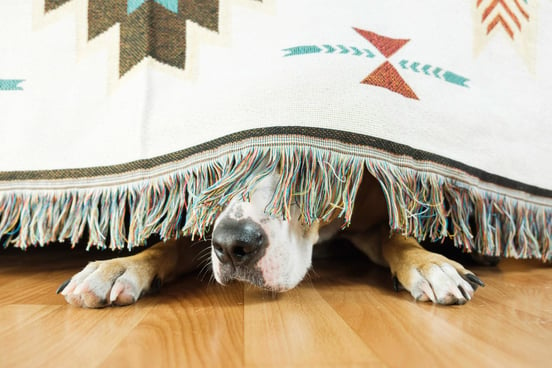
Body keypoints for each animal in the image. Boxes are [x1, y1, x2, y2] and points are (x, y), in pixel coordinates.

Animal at [57, 172, 484, 308]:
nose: (233, 246)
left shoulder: (370, 218)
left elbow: (400, 238)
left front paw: (432, 265)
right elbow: (169, 245)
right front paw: (118, 268)